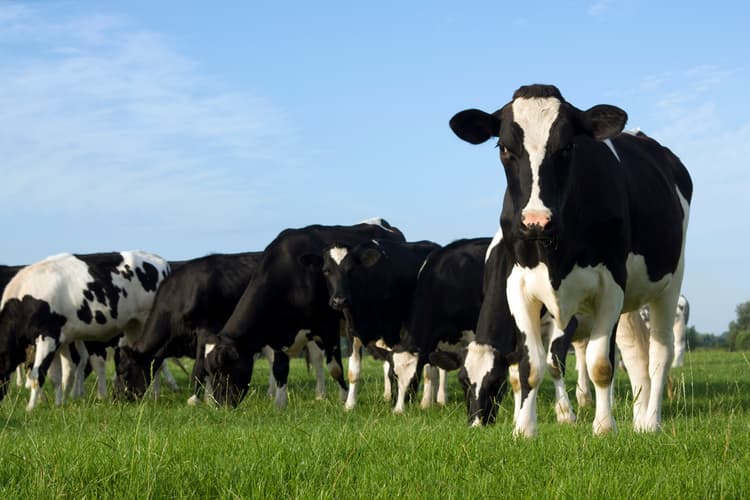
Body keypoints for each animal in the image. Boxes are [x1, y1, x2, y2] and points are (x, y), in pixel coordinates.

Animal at [0, 251, 169, 410]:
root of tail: (159, 259)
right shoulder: (59, 341)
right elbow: (57, 377)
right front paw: (58, 404)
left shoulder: (47, 336)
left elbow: (38, 374)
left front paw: (30, 408)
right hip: (133, 327)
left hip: (147, 321)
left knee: (156, 362)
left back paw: (154, 396)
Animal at [203, 218, 407, 407]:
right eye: (210, 372)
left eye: (224, 370)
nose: (220, 405)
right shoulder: (279, 334)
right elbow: (280, 369)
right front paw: (280, 404)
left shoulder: (328, 326)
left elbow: (335, 368)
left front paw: (343, 399)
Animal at [321, 238, 440, 410]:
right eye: (326, 271)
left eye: (351, 269)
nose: (339, 300)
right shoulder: (352, 332)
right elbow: (353, 372)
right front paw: (350, 405)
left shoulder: (392, 331)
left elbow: (393, 368)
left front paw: (397, 401)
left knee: (432, 368)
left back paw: (430, 401)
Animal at [449, 83, 692, 436]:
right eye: (504, 147)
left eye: (566, 147)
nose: (536, 221)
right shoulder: (518, 288)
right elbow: (529, 366)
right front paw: (523, 428)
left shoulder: (609, 285)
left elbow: (599, 364)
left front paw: (601, 427)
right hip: (630, 301)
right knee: (636, 353)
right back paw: (637, 417)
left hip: (670, 282)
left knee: (660, 352)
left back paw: (650, 421)